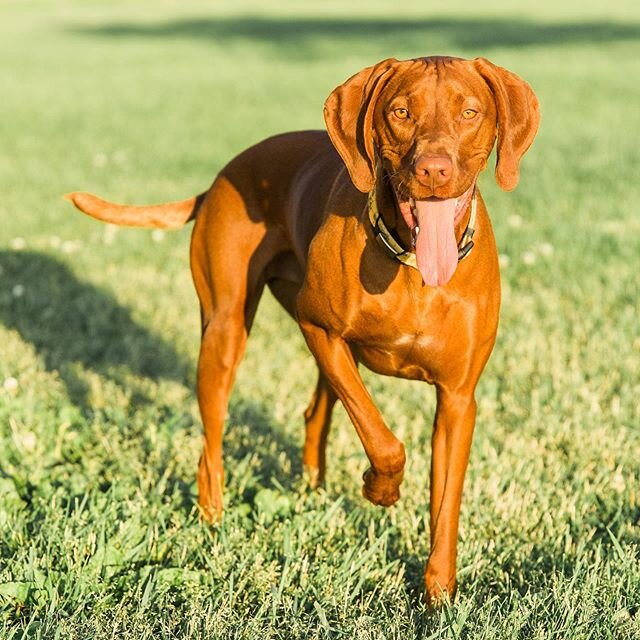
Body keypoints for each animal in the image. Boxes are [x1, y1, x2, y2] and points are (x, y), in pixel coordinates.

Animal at [66, 56, 540, 604]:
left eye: (470, 112)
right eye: (400, 112)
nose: (434, 170)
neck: (411, 263)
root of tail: (222, 175)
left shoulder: (458, 399)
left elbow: (444, 508)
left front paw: (439, 596)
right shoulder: (319, 328)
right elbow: (384, 441)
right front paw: (380, 489)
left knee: (317, 412)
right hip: (225, 332)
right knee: (213, 441)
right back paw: (212, 518)